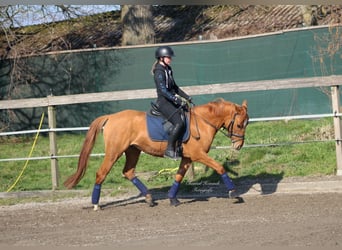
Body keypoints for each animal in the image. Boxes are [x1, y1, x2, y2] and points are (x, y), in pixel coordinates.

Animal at [63, 98, 248, 210]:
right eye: (239, 125)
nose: (238, 145)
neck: (203, 122)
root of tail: (111, 117)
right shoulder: (198, 154)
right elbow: (219, 168)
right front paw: (234, 193)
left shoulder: (187, 157)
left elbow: (179, 176)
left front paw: (172, 199)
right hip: (115, 151)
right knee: (101, 173)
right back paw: (96, 204)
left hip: (133, 151)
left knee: (128, 172)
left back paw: (149, 198)